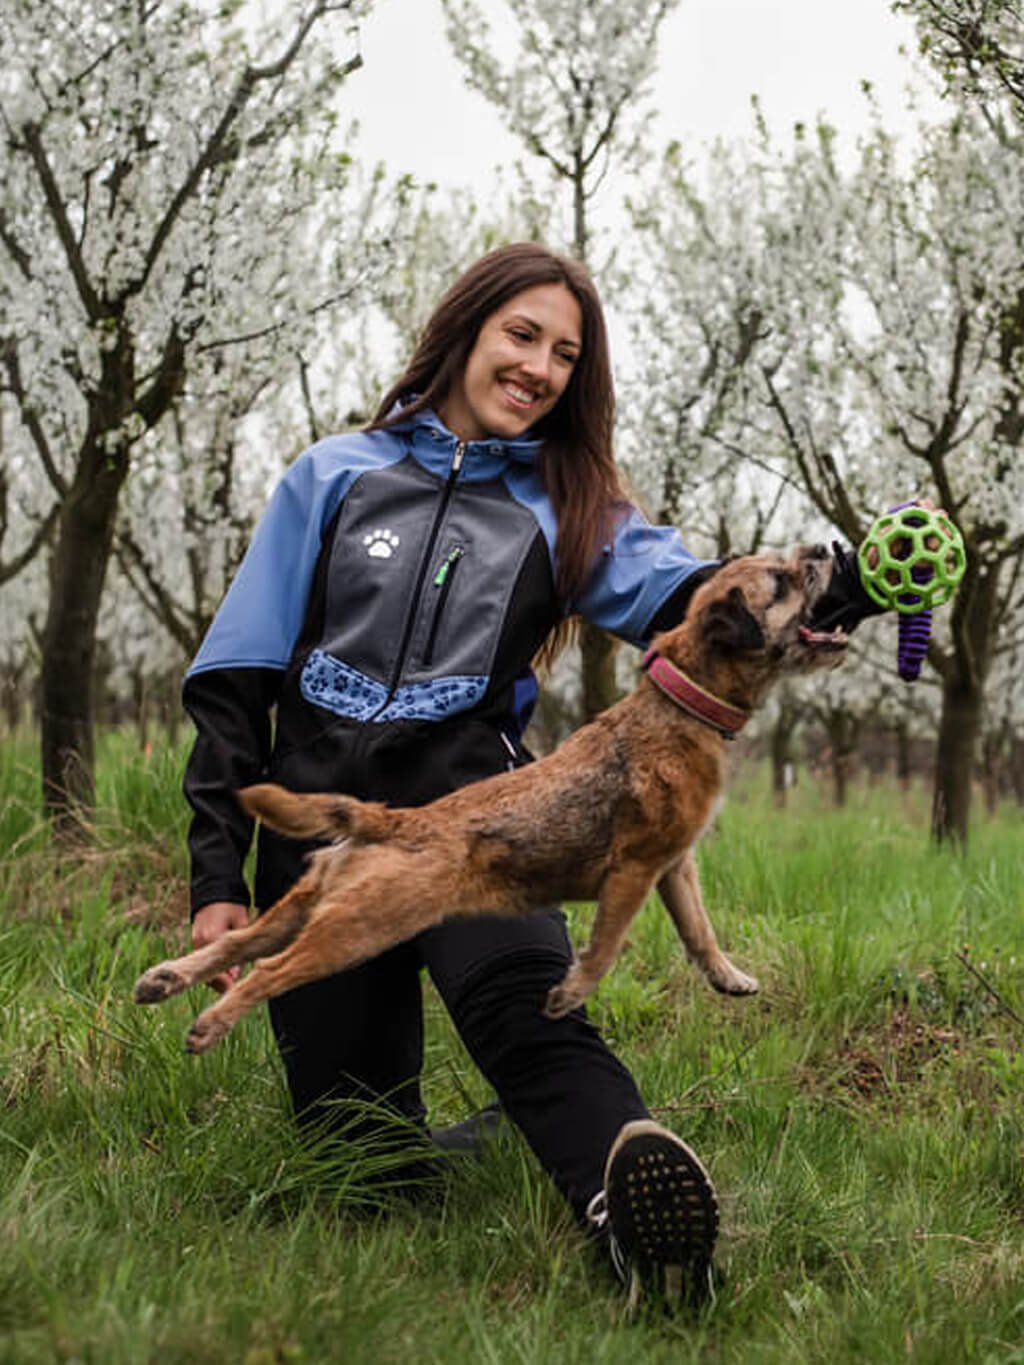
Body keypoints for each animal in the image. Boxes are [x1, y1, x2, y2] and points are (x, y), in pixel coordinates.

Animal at [140, 540, 851, 1042]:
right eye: (781, 582)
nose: (825, 548)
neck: (680, 700)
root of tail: (393, 822)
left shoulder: (675, 867)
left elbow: (699, 931)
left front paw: (728, 976)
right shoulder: (633, 871)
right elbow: (607, 946)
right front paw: (569, 994)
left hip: (308, 905)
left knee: (237, 942)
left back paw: (168, 977)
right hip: (359, 929)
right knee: (270, 970)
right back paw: (211, 1023)